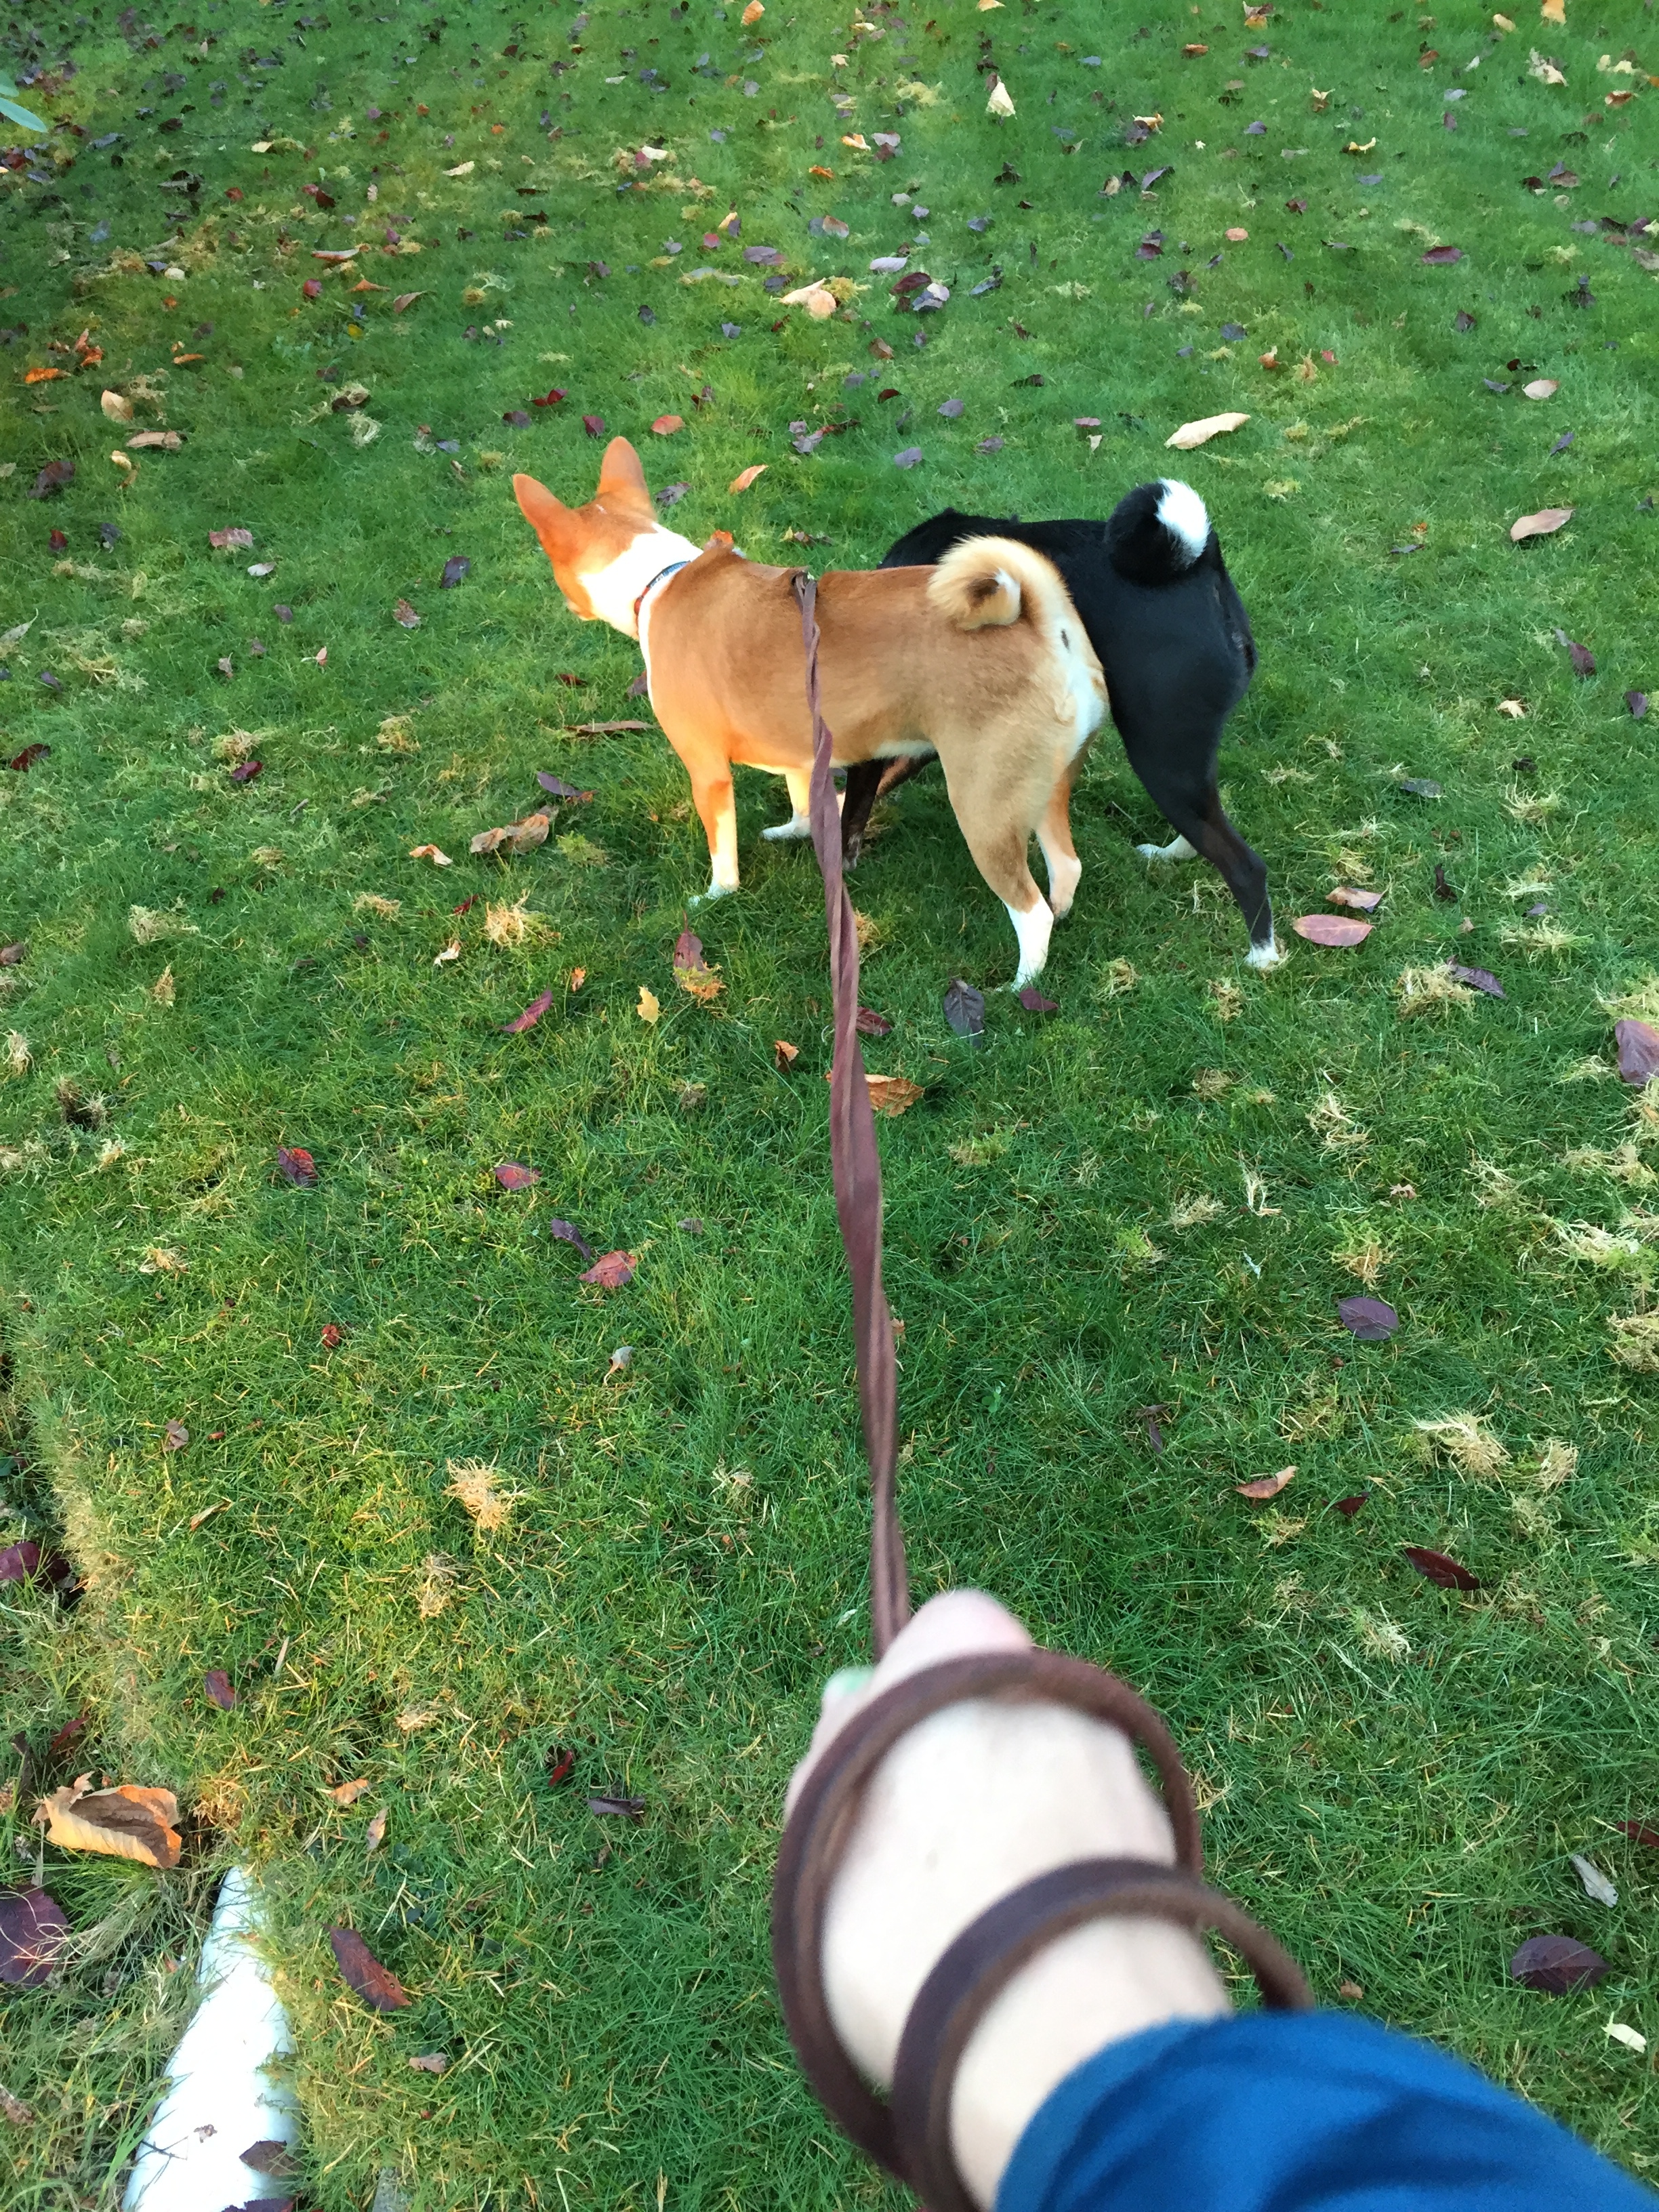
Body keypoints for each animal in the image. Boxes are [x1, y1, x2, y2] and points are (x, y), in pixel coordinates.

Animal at [513, 438, 1107, 985]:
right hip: (1043, 791)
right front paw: (800, 831)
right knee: (1066, 868)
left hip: (982, 810)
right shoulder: (802, 748)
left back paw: (1021, 984)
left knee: (1029, 912)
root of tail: (1040, 622)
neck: (663, 578)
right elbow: (803, 801)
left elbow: (722, 855)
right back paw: (1062, 915)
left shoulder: (707, 771)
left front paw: (716, 895)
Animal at [853, 480, 1278, 967]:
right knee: (1205, 828)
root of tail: (1202, 564)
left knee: (1244, 864)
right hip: (1186, 762)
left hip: (1161, 756)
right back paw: (1169, 857)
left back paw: (1262, 957)